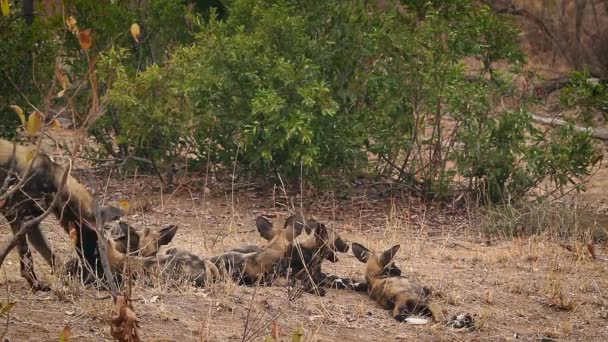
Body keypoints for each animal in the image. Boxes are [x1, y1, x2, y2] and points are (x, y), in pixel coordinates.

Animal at [0, 139, 124, 292]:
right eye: (97, 249)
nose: (107, 278)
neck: (54, 181)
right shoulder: (19, 217)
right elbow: (28, 260)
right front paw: (37, 285)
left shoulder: (29, 224)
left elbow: (51, 257)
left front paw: (63, 278)